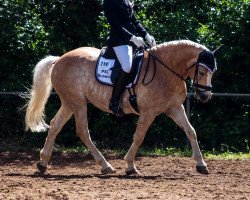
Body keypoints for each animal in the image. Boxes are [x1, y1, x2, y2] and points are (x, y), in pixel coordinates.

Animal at [24, 39, 219, 176]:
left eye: (214, 71)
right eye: (202, 71)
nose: (205, 96)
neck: (166, 70)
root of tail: (59, 60)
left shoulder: (175, 108)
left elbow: (191, 131)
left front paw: (201, 165)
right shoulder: (149, 112)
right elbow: (139, 137)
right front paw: (130, 166)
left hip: (69, 103)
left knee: (55, 125)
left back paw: (43, 163)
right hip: (78, 103)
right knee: (82, 131)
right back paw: (105, 166)